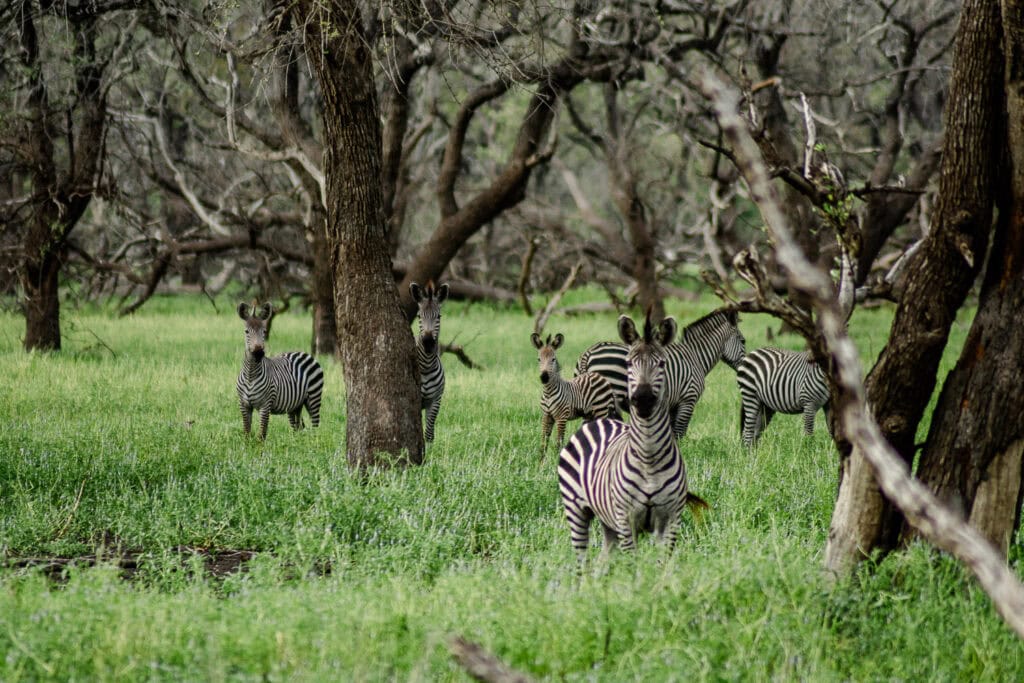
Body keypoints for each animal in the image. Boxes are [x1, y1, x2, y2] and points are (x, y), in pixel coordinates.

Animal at [235, 301, 323, 440]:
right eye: (246, 331)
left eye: (264, 331)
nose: (258, 353)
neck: (251, 374)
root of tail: (304, 353)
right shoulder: (244, 405)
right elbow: (246, 433)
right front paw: (246, 445)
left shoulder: (265, 405)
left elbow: (261, 435)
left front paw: (259, 446)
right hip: (295, 405)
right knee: (298, 427)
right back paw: (297, 442)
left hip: (314, 396)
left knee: (315, 426)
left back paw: (314, 441)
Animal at [407, 280, 448, 440]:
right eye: (419, 316)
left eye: (439, 317)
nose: (428, 342)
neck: (426, 366)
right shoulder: (416, 401)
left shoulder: (436, 400)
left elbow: (429, 434)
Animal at [557, 313, 708, 561]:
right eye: (628, 363)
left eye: (662, 363)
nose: (643, 400)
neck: (649, 457)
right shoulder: (626, 520)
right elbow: (632, 566)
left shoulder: (670, 520)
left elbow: (662, 564)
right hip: (576, 509)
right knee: (582, 560)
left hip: (606, 521)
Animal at [577, 309, 745, 438]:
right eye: (743, 341)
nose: (743, 367)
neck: (695, 356)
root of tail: (588, 354)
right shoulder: (687, 399)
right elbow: (679, 433)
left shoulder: (671, 404)